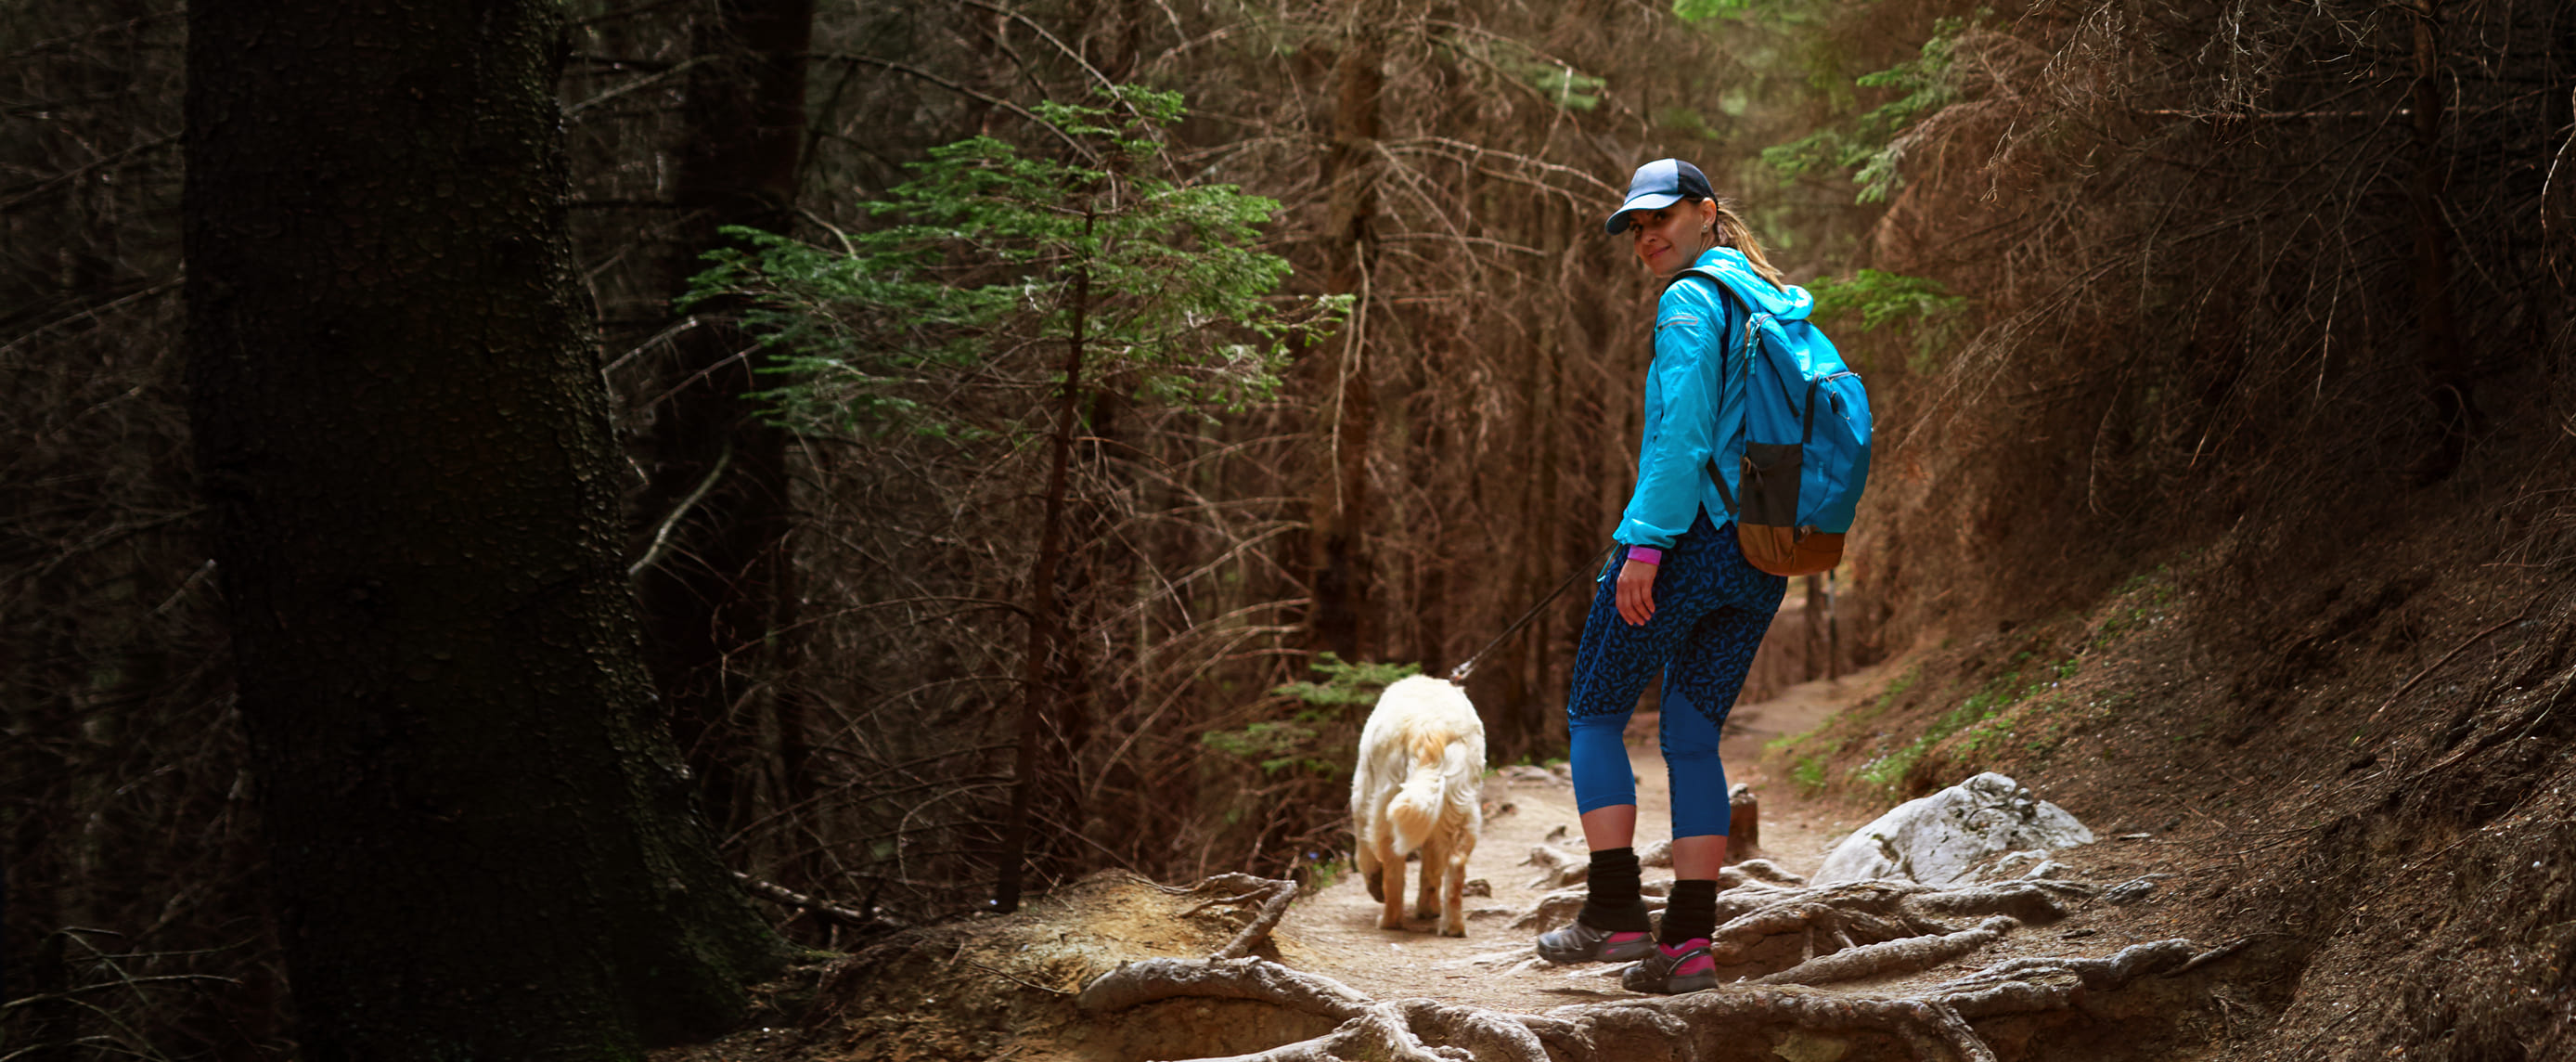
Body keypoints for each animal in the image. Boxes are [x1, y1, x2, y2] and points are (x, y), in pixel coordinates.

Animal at [1349, 675, 1494, 933]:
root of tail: (1429, 729)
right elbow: (1432, 868)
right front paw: (1428, 908)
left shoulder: (1361, 794)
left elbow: (1365, 854)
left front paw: (1375, 885)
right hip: (1462, 806)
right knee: (1456, 863)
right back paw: (1452, 926)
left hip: (1386, 803)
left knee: (1393, 867)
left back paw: (1389, 921)